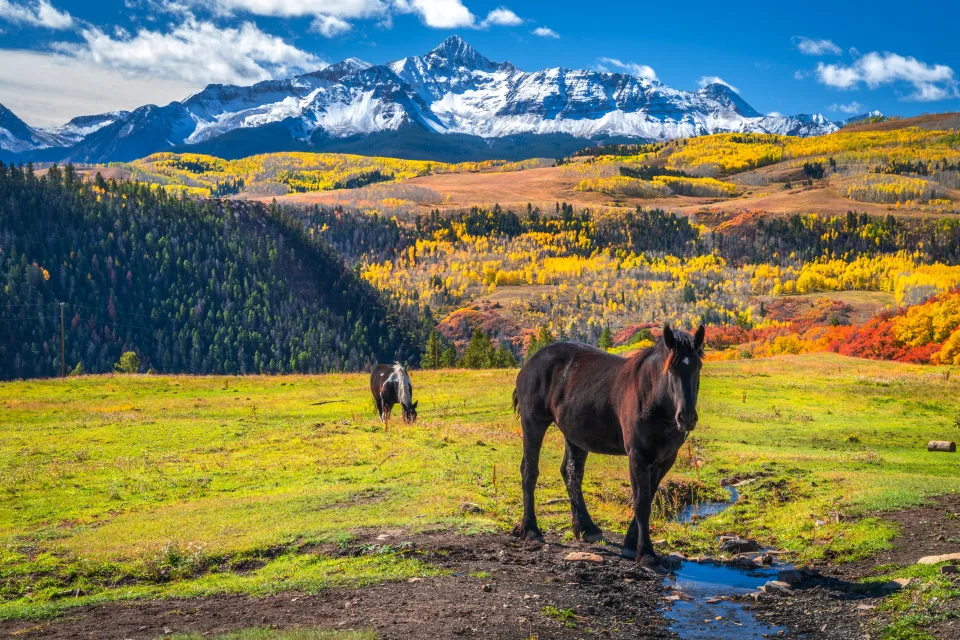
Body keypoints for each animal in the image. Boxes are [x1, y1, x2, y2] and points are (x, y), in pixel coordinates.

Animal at [511, 323, 704, 569]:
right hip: (533, 424)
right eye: (671, 369)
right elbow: (641, 502)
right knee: (530, 471)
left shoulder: (665, 460)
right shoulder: (638, 458)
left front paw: (630, 544)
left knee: (571, 475)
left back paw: (587, 528)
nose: (686, 418)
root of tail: (530, 362)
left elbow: (649, 497)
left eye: (698, 366)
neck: (653, 399)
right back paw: (531, 530)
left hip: (575, 435)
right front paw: (647, 554)